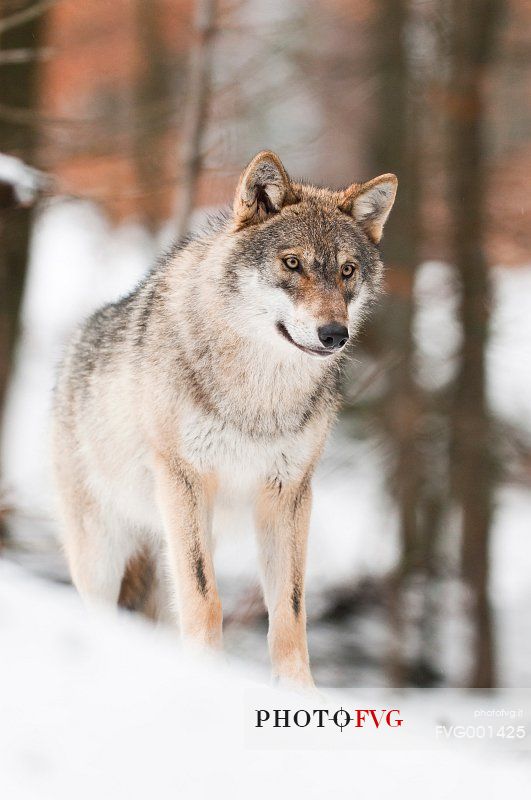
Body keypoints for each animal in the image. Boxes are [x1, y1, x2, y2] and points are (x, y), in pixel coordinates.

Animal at [52, 152, 396, 688]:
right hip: (106, 550)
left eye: (347, 271)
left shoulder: (289, 493)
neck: (258, 397)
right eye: (292, 263)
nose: (334, 334)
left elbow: (290, 610)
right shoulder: (185, 479)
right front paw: (207, 677)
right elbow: (205, 597)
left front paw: (299, 692)